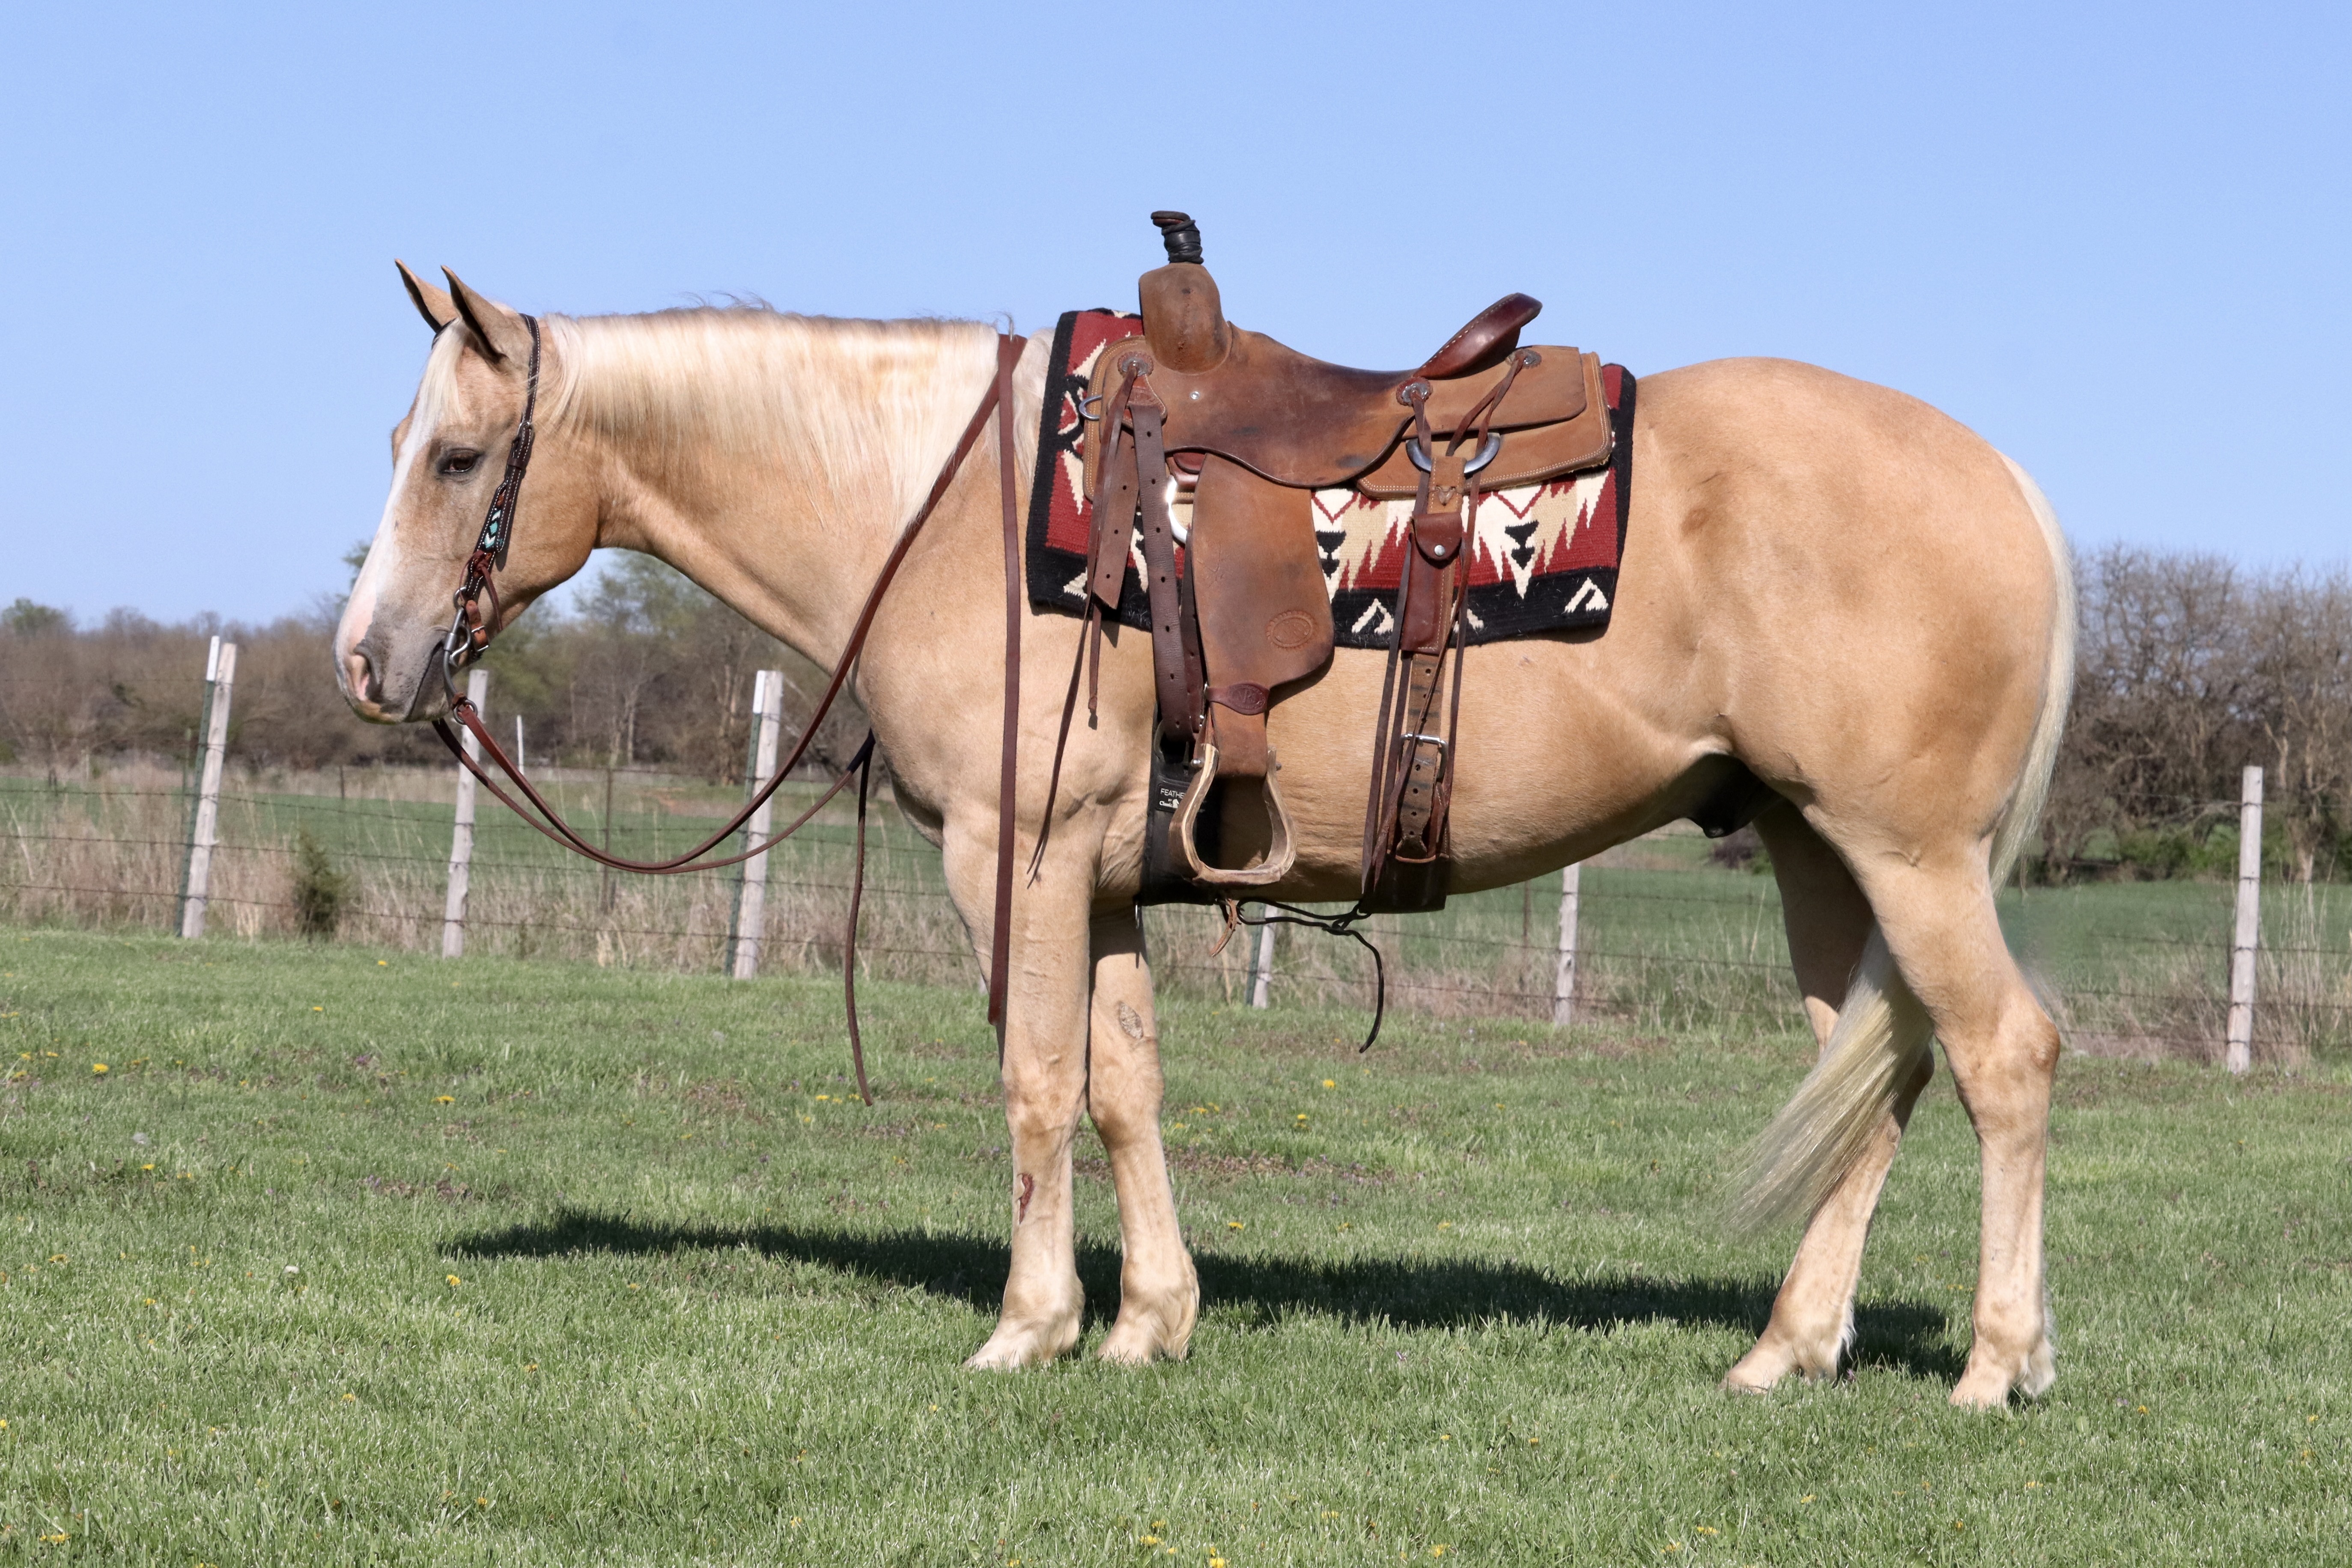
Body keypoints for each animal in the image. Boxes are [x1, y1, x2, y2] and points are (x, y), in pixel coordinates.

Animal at [336, 264, 2074, 1407]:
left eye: (458, 456)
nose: (369, 658)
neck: (945, 508)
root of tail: (2007, 479)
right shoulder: (1105, 880)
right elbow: (1123, 1086)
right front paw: (1147, 1320)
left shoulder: (1018, 856)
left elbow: (1038, 1085)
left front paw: (1027, 1325)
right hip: (1813, 851)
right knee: (1873, 1077)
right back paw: (1790, 1345)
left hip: (1904, 854)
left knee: (2001, 1056)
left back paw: (1993, 1362)